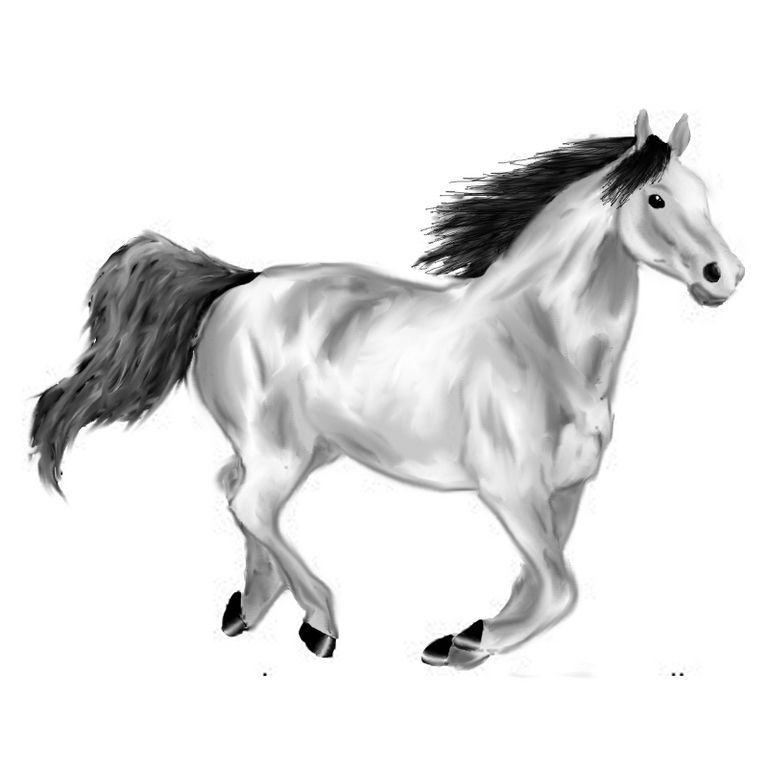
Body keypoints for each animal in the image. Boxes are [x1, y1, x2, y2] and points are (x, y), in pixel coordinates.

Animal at [30, 110, 744, 669]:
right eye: (657, 200)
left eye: (704, 193)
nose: (726, 274)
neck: (542, 343)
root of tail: (240, 284)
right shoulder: (510, 491)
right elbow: (560, 587)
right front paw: (463, 641)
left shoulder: (564, 495)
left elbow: (542, 581)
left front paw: (464, 642)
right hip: (281, 450)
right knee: (249, 504)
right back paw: (317, 623)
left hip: (304, 449)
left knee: (233, 491)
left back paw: (250, 606)